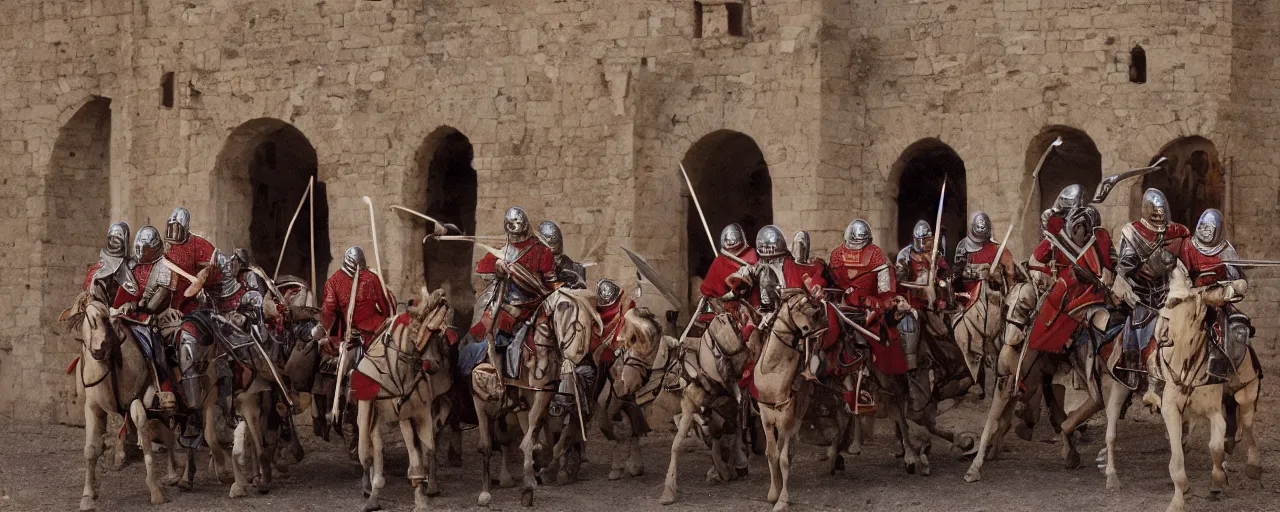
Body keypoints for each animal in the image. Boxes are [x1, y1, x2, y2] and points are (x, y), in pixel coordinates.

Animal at [62, 298, 181, 509]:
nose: (100, 349)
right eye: (89, 320)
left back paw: (172, 474)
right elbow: (90, 450)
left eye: (105, 320)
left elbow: (146, 441)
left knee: (168, 436)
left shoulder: (136, 402)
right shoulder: (92, 408)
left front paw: (155, 491)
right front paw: (88, 496)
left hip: (160, 405)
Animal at [358, 285, 458, 512]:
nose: (433, 366)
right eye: (422, 332)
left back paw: (431, 483)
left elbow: (419, 451)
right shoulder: (379, 411)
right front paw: (373, 495)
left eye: (441, 337)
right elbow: (376, 451)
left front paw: (421, 498)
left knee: (431, 441)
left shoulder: (415, 411)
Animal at [471, 288, 599, 506]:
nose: (581, 362)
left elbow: (537, 439)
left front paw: (536, 476)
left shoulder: (541, 396)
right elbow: (489, 445)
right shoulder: (482, 401)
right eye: (576, 326)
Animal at [747, 290, 829, 512]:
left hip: (796, 419)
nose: (821, 327)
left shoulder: (786, 418)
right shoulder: (766, 417)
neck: (773, 369)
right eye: (801, 307)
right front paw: (773, 493)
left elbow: (783, 458)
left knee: (789, 451)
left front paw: (783, 499)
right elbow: (771, 454)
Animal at [1146, 267, 1254, 512]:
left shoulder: (1214, 413)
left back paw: (1253, 466)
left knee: (1244, 427)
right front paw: (1180, 496)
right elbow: (1176, 457)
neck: (1186, 362)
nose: (1161, 332)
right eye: (1167, 298)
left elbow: (1215, 446)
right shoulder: (1171, 409)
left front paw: (1218, 480)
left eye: (1177, 301)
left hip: (1245, 395)